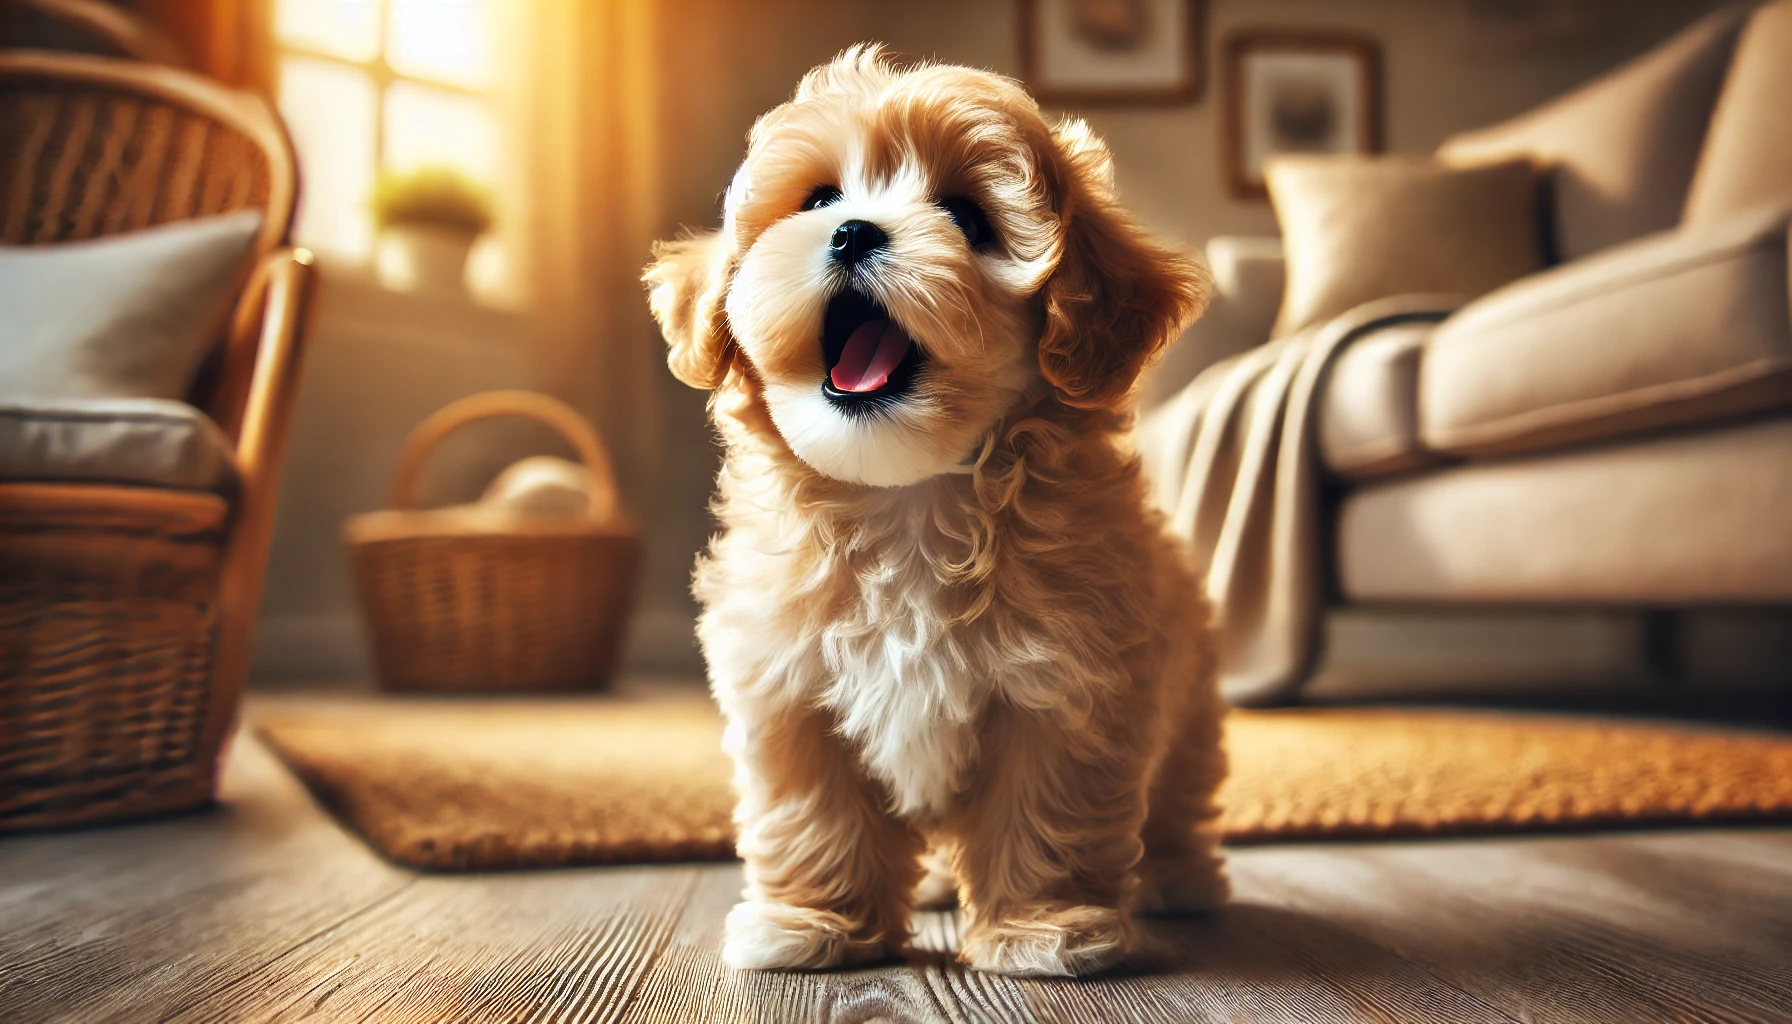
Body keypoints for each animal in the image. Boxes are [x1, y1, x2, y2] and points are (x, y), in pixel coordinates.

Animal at [648, 47, 1232, 975]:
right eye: (818, 199)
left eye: (966, 216)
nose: (853, 232)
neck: (909, 501)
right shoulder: (790, 686)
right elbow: (814, 814)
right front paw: (811, 923)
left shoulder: (1068, 688)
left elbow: (1047, 811)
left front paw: (1043, 930)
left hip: (1189, 702)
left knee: (1179, 790)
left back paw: (1180, 879)